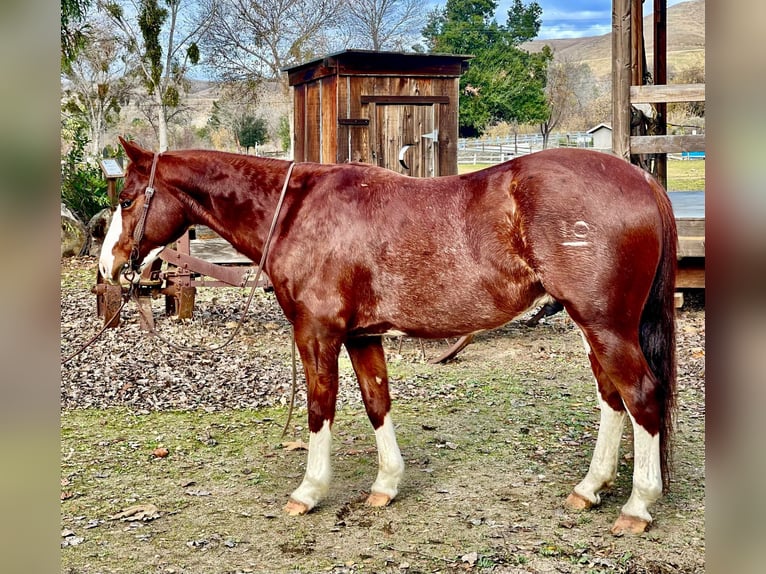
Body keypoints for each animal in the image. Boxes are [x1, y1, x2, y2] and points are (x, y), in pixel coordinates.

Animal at [97, 137, 680, 536]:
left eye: (126, 199)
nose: (107, 267)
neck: (297, 212)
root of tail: (642, 178)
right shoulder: (361, 337)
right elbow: (377, 401)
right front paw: (385, 485)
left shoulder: (318, 334)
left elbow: (320, 407)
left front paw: (309, 490)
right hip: (596, 328)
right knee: (612, 399)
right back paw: (590, 489)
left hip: (605, 326)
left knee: (641, 396)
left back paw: (637, 505)